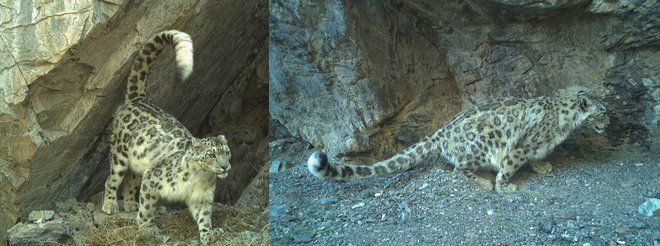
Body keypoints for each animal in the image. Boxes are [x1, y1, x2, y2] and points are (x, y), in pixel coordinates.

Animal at [99, 30, 231, 244]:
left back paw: (130, 203)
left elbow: (204, 216)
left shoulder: (201, 197)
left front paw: (208, 234)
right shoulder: (153, 178)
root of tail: (138, 98)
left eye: (227, 152)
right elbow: (147, 205)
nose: (225, 166)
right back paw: (110, 205)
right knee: (112, 179)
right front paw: (146, 226)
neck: (201, 177)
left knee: (131, 180)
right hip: (120, 155)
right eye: (211, 154)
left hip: (140, 162)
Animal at [308, 91, 608, 193]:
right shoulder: (520, 147)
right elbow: (510, 166)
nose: (610, 122)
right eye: (603, 111)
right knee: (458, 169)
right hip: (480, 147)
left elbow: (536, 157)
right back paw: (483, 182)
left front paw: (542, 166)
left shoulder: (535, 147)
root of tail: (440, 131)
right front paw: (504, 187)